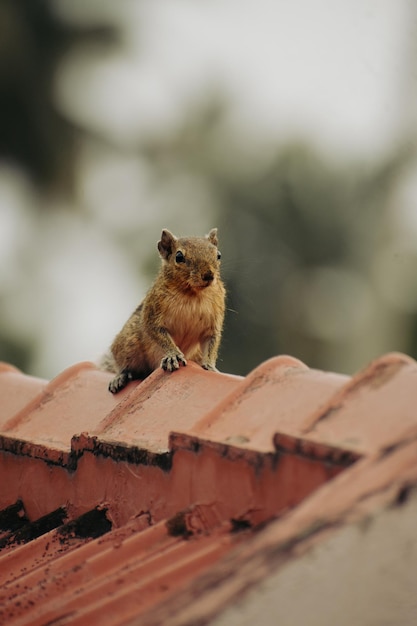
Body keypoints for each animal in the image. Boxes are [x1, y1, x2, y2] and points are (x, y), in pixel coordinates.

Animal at [100, 227, 224, 392]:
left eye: (218, 255)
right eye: (179, 256)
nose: (208, 275)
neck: (192, 294)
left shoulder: (213, 322)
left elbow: (211, 342)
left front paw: (210, 365)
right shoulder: (152, 314)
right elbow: (158, 334)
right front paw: (173, 355)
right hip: (129, 343)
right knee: (126, 365)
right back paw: (121, 376)